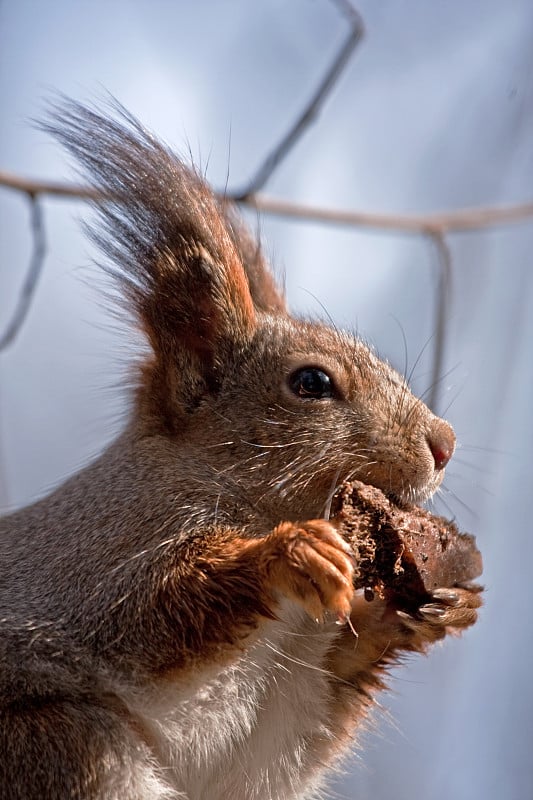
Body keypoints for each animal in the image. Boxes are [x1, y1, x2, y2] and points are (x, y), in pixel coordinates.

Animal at [0, 103, 482, 800]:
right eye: (312, 383)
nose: (444, 442)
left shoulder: (268, 719)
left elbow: (272, 747)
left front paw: (425, 613)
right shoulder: (101, 559)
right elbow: (151, 609)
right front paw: (288, 555)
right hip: (66, 743)